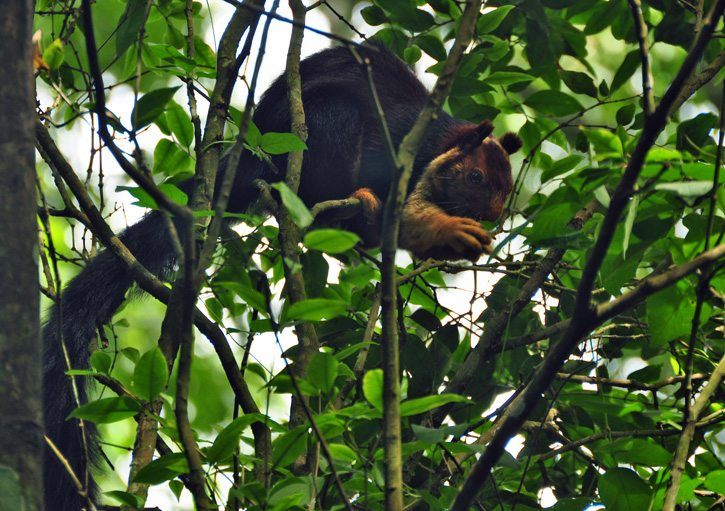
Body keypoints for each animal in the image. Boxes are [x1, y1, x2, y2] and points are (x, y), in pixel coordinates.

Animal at [42, 44, 521, 510]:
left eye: (507, 186)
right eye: (475, 176)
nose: (495, 214)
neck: (434, 146)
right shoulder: (397, 148)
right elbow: (400, 216)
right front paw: (439, 228)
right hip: (320, 132)